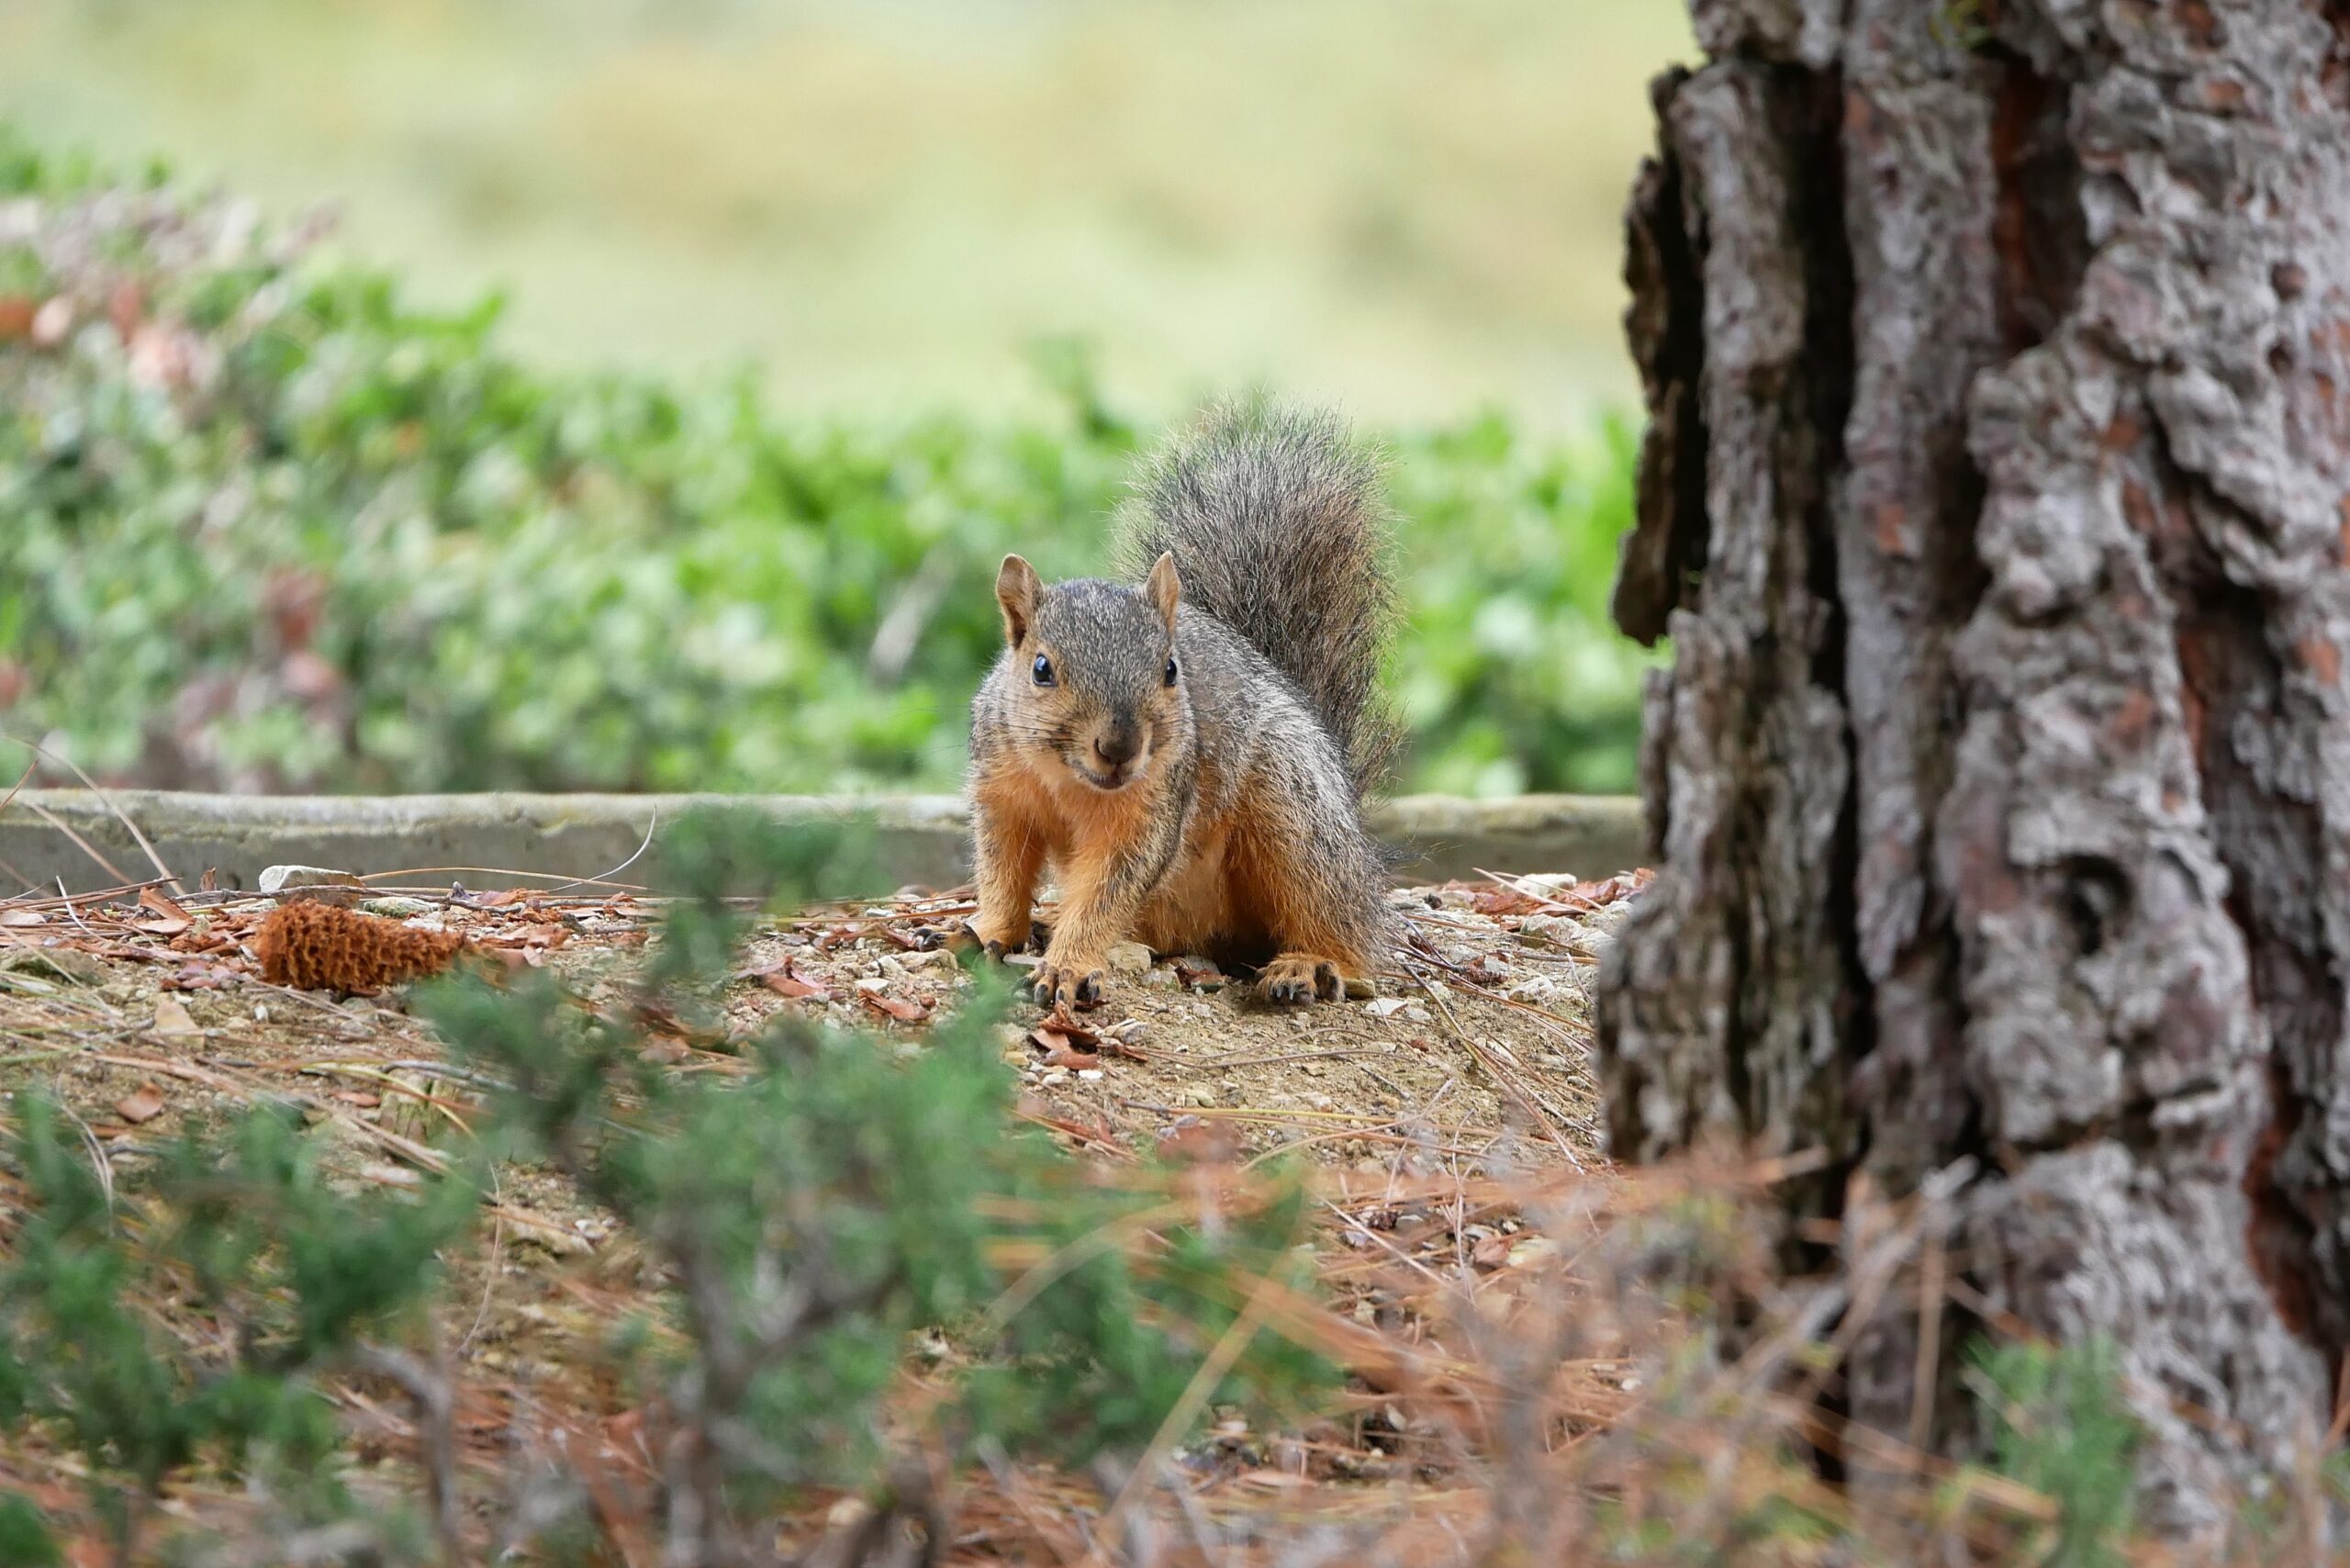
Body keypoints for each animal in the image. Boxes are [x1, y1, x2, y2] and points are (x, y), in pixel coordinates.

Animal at [964, 399, 1399, 1007]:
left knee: (1343, 927)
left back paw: (1308, 964)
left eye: (1171, 670)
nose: (1119, 748)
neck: (1068, 780)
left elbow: (1107, 890)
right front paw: (991, 931)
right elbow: (1002, 871)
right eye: (1041, 670)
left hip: (1294, 813)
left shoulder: (1154, 811)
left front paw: (1069, 965)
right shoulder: (1002, 793)